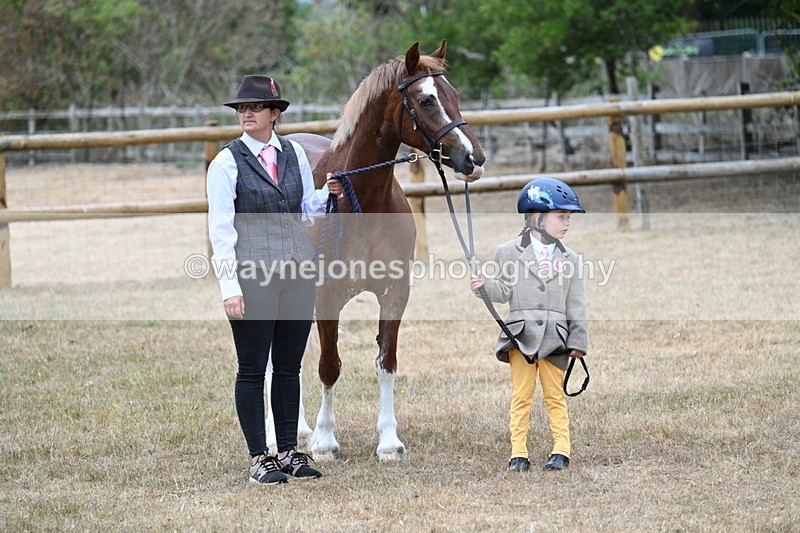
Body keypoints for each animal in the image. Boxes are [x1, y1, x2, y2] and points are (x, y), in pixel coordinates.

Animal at [288, 41, 485, 461]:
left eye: (455, 96)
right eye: (426, 100)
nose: (473, 159)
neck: (360, 198)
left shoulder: (395, 293)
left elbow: (386, 363)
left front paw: (389, 441)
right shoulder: (327, 297)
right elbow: (329, 366)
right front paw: (325, 442)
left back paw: (298, 428)